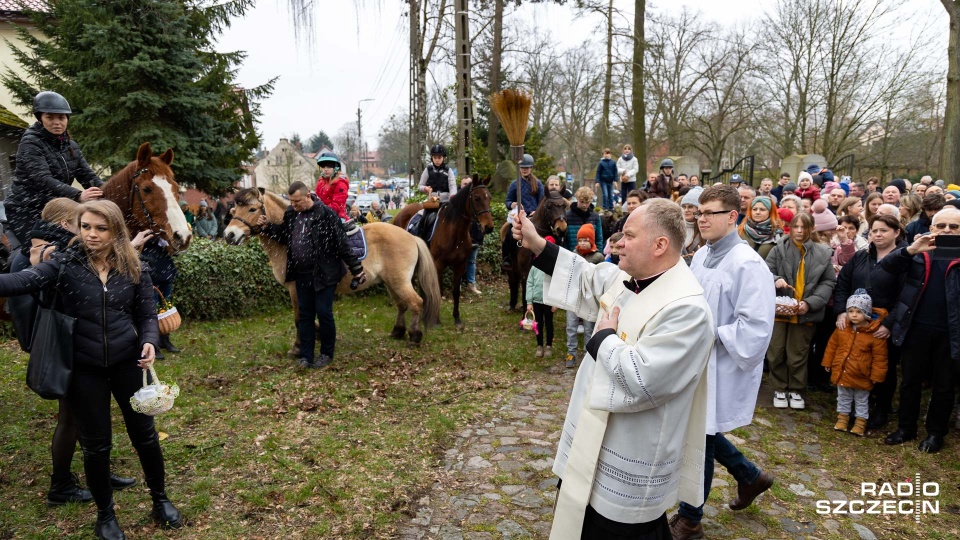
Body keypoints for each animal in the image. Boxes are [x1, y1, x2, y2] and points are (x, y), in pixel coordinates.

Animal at [390, 177, 496, 330]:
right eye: (476, 198)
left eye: (489, 197)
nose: (489, 227)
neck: (455, 233)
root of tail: (400, 213)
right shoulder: (439, 264)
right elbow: (439, 290)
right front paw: (437, 320)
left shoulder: (460, 265)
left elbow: (456, 291)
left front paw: (457, 319)